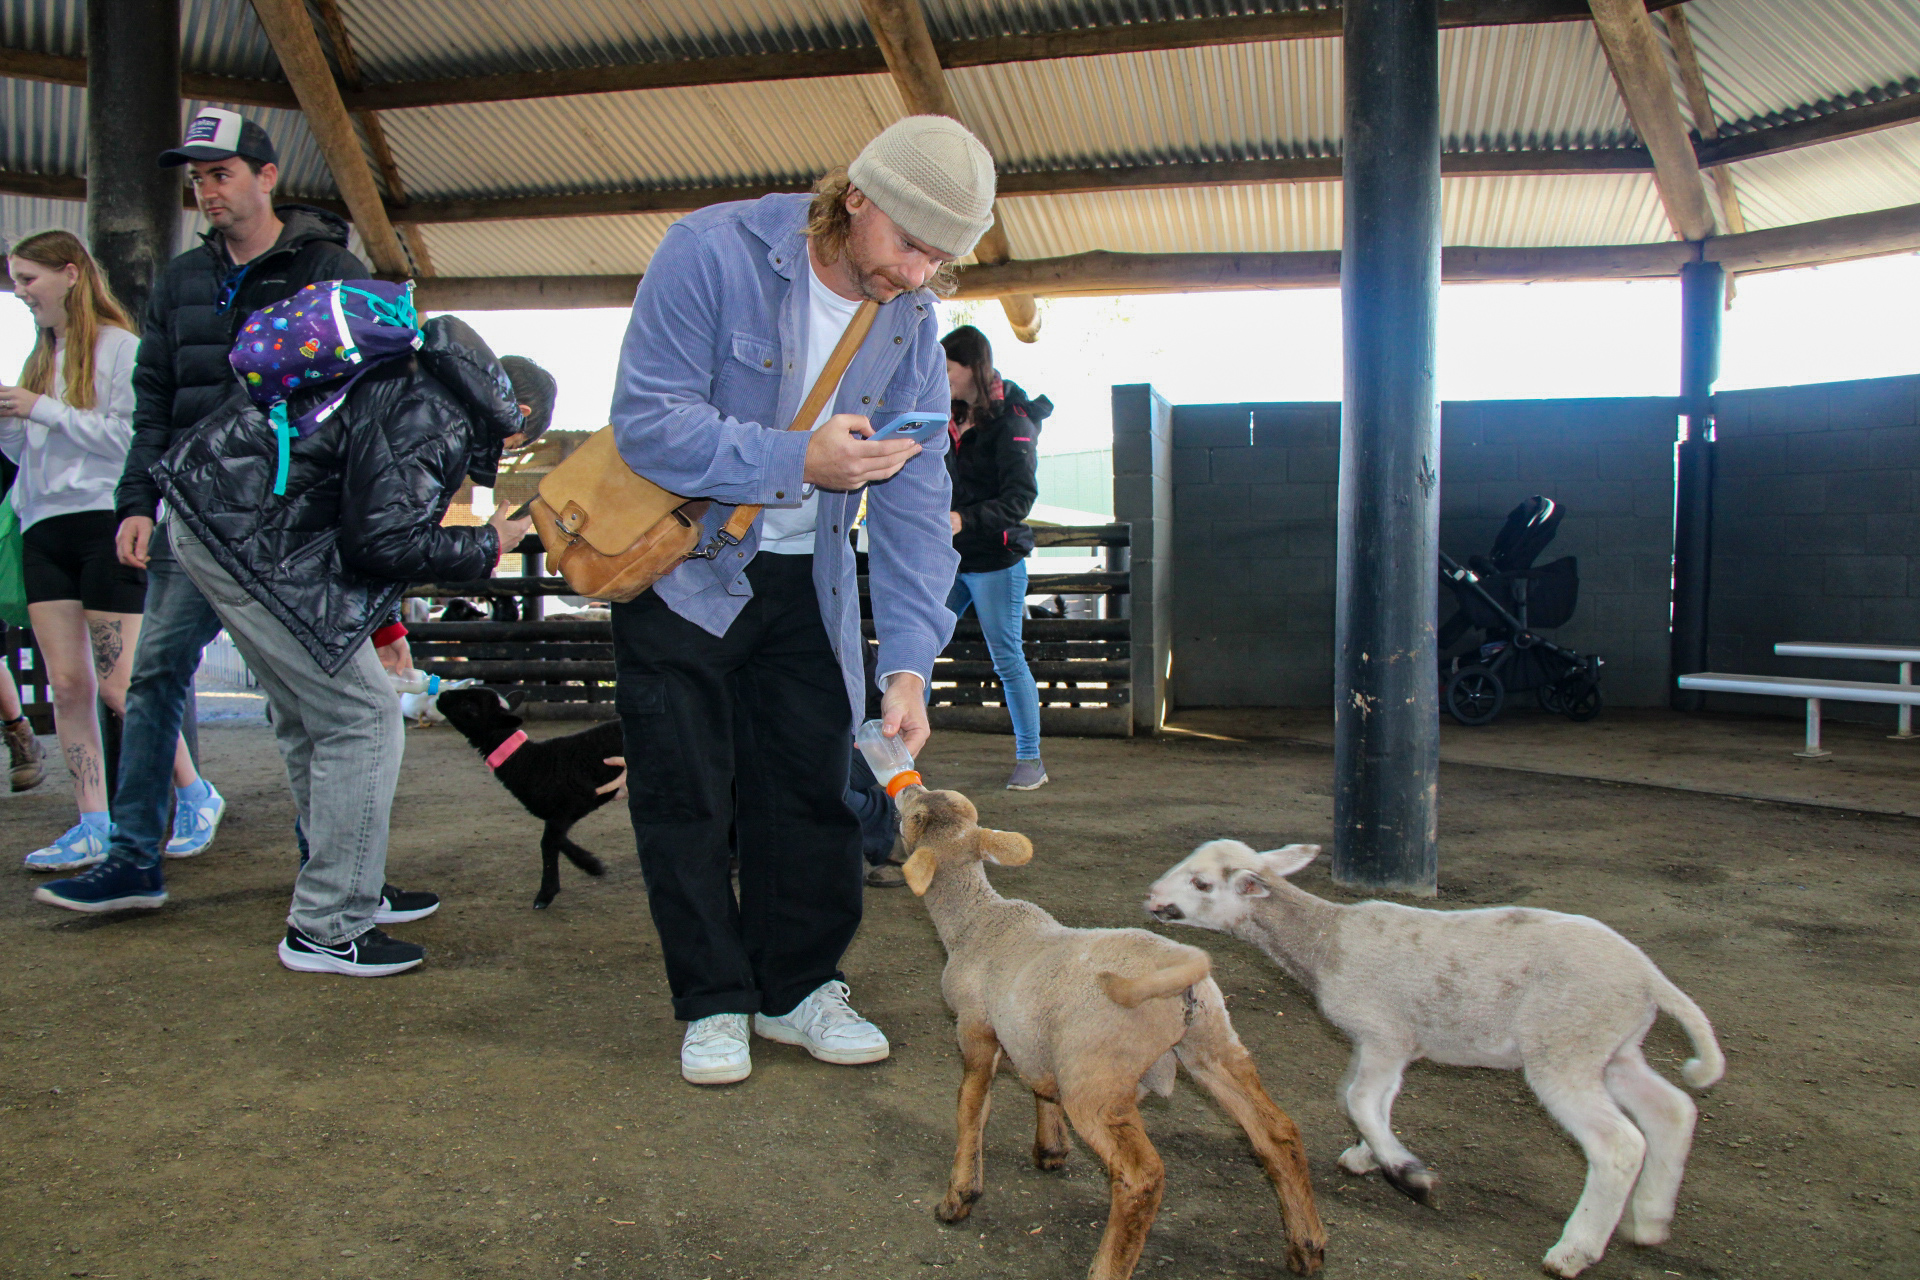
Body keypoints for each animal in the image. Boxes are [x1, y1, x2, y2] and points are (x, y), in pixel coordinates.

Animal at [433, 690, 622, 909]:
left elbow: (548, 843)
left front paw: (545, 894)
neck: (530, 762)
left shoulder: (572, 805)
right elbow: (558, 840)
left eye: (468, 705)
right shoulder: (555, 814)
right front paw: (592, 865)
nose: (441, 695)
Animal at [1136, 840, 1728, 1280]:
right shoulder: (1386, 1044)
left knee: (1619, 1144)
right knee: (1672, 1110)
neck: (1325, 940)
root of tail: (1649, 978)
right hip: (1613, 1048)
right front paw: (1367, 1156)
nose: (1151, 896)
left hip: (1566, 1048)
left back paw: (1573, 1251)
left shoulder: (1384, 1034)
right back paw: (1651, 1220)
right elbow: (1361, 1098)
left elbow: (1360, 1098)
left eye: (1202, 884)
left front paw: (1408, 1174)